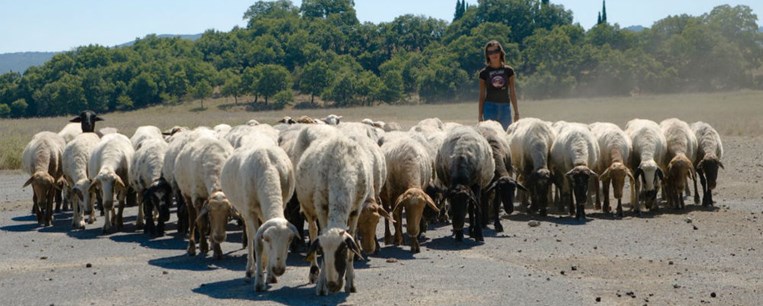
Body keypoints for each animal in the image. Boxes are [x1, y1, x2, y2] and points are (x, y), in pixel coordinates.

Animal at [221, 140, 298, 290]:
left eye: (290, 240)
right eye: (269, 239)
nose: (278, 270)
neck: (268, 169)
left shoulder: (283, 202)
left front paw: (270, 276)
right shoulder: (250, 211)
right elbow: (258, 241)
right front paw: (259, 281)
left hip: (261, 212)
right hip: (244, 210)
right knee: (251, 234)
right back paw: (250, 269)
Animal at [296, 135, 372, 296]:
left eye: (342, 250)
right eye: (321, 251)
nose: (332, 285)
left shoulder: (356, 210)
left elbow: (352, 243)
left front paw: (350, 283)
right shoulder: (321, 207)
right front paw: (321, 286)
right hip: (307, 207)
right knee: (313, 230)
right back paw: (314, 272)